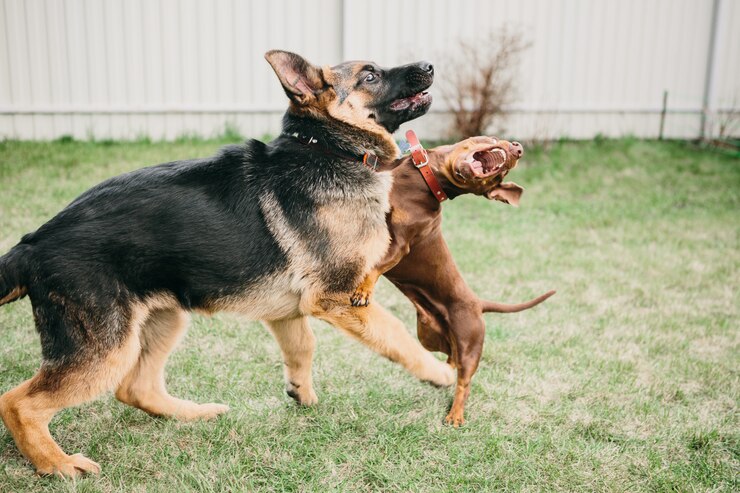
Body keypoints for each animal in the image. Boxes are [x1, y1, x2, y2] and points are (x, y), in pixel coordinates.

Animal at [0, 51, 454, 476]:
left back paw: (194, 413)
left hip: (163, 320)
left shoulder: (288, 310)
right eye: (370, 75)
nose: (431, 65)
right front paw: (440, 373)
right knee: (18, 403)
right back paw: (55, 463)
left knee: (136, 388)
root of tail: (32, 244)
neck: (328, 148)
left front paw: (301, 392)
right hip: (106, 349)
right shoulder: (337, 296)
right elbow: (395, 333)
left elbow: (302, 345)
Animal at [350, 136, 552, 424]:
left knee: (464, 381)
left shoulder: (400, 245)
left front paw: (364, 291)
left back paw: (455, 414)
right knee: (450, 359)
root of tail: (478, 303)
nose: (518, 148)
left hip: (470, 345)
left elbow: (375, 266)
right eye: (494, 139)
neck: (422, 179)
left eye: (503, 174)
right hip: (429, 335)